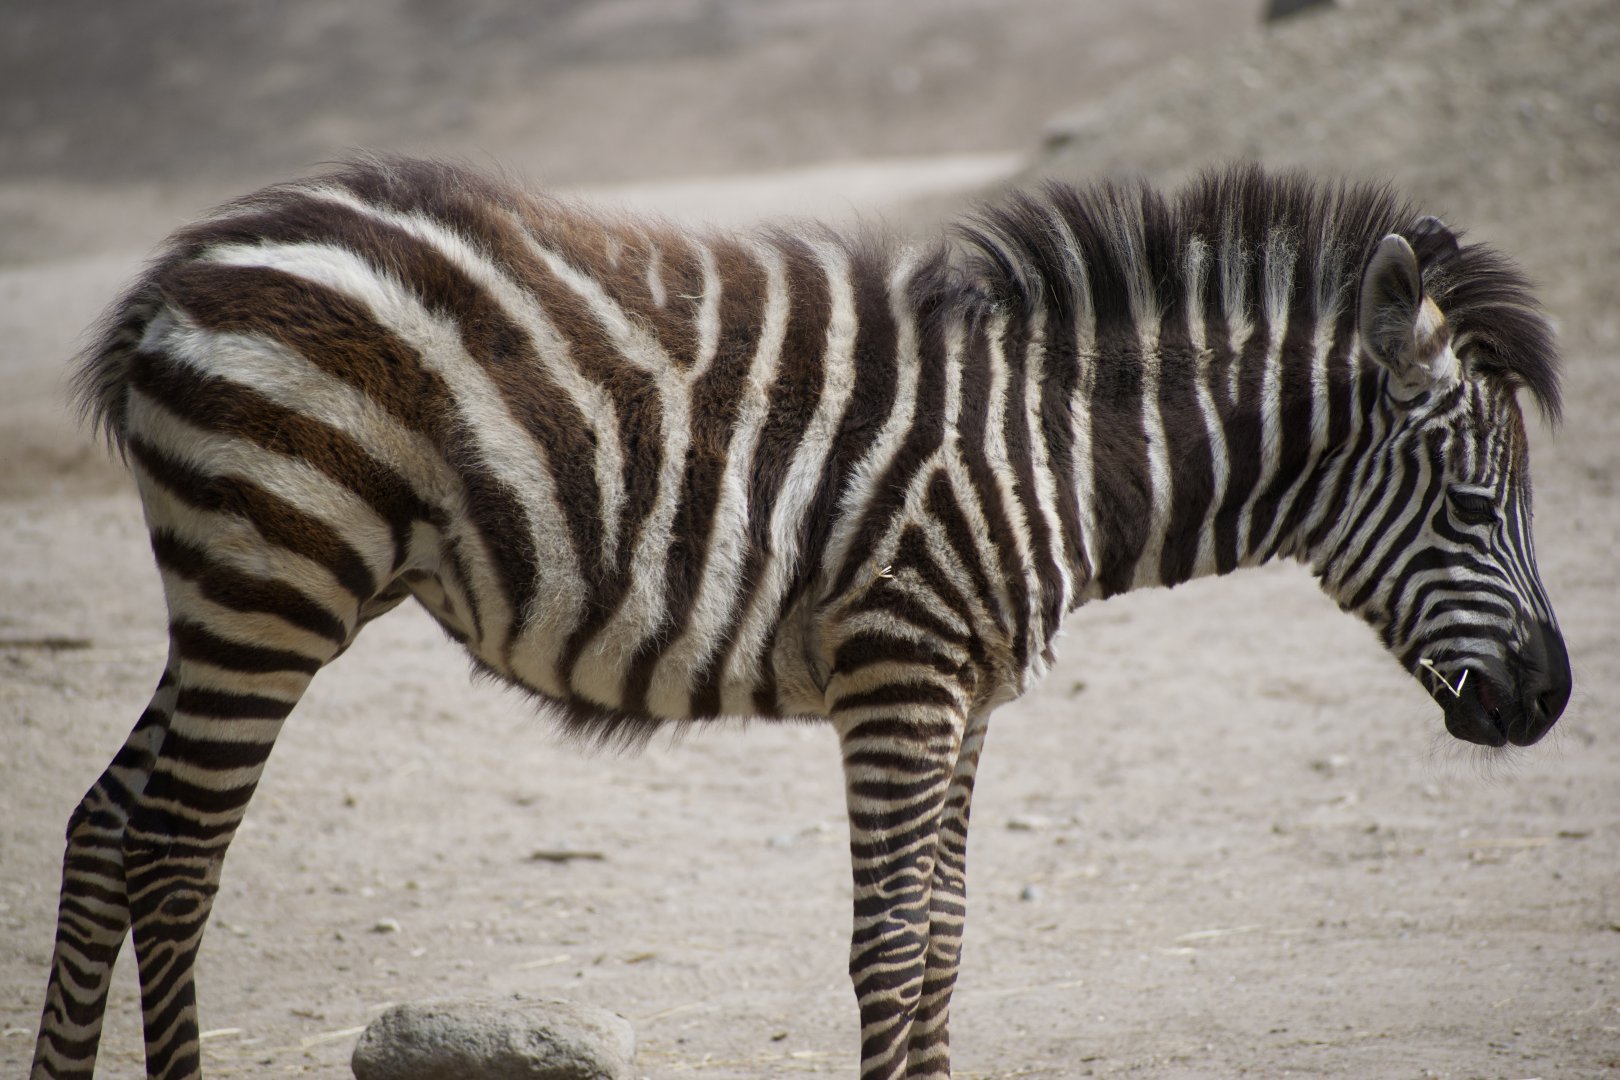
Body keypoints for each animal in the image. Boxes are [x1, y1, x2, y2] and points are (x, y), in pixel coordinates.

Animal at [32, 158, 1569, 1080]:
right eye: (1474, 503)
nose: (1553, 698)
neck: (1054, 448)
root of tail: (186, 268)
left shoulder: (967, 688)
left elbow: (944, 932)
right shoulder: (901, 669)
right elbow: (890, 942)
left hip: (236, 586)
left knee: (107, 824)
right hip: (277, 577)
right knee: (174, 852)